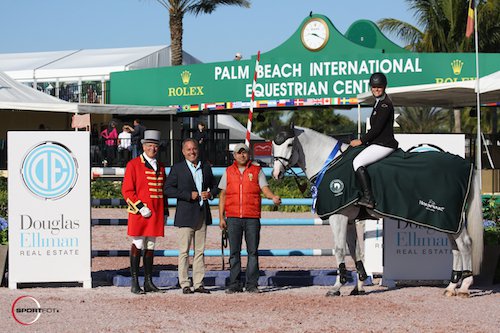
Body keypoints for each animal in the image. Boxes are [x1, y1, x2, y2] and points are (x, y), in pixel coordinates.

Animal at [274, 124, 484, 296]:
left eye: (290, 144)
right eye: (274, 145)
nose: (276, 174)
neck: (329, 163)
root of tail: (467, 165)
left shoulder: (338, 216)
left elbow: (340, 249)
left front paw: (337, 287)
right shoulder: (349, 218)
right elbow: (355, 251)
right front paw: (358, 287)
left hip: (448, 218)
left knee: (465, 244)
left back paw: (464, 287)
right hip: (447, 221)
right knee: (456, 248)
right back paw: (451, 287)